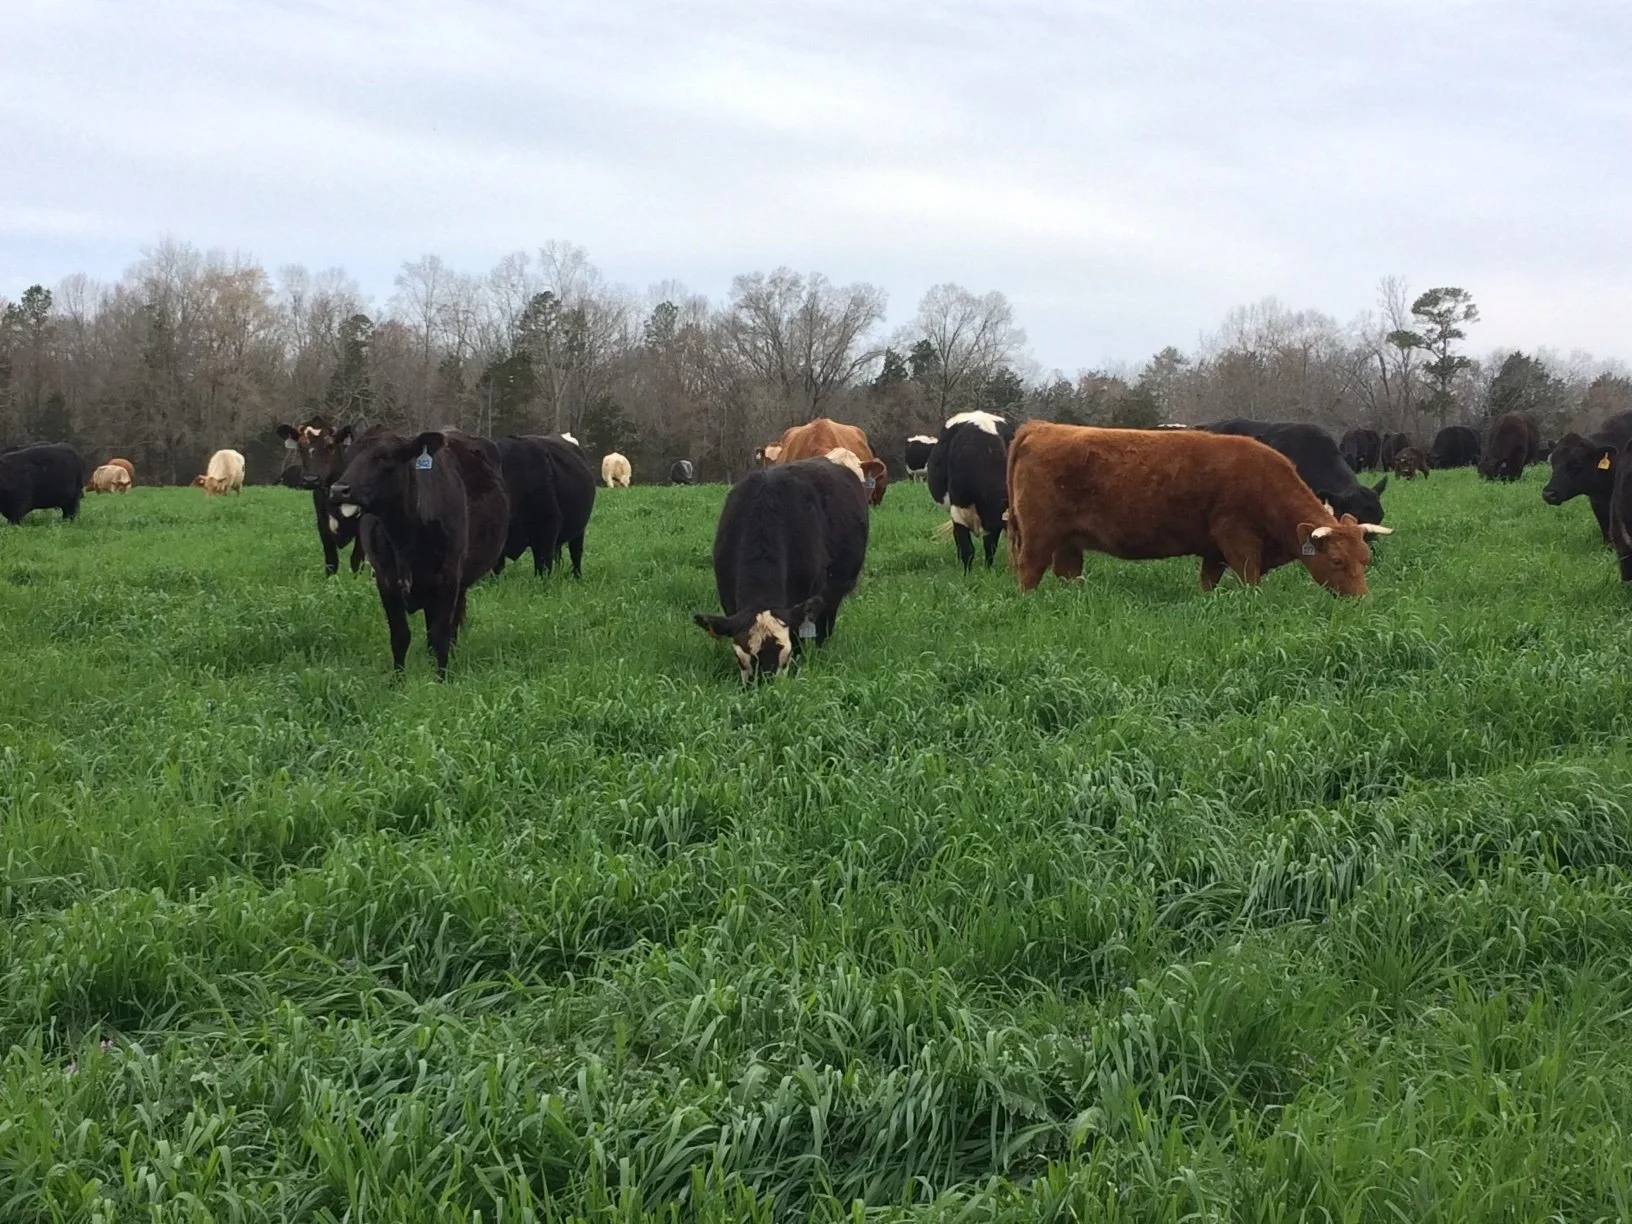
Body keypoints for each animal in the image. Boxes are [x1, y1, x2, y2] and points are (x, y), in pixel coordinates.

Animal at [277, 417, 379, 575]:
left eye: (330, 445)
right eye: (300, 446)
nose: (310, 479)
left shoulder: (362, 524)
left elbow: (356, 561)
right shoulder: (323, 523)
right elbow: (331, 561)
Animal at [328, 428, 510, 678]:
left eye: (384, 457)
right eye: (349, 456)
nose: (339, 490)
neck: (405, 537)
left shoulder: (448, 580)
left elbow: (440, 636)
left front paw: (441, 679)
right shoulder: (386, 582)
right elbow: (400, 636)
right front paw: (398, 680)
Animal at [927, 410, 1017, 572]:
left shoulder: (993, 521)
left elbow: (990, 547)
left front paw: (988, 571)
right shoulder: (958, 512)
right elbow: (967, 549)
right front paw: (966, 574)